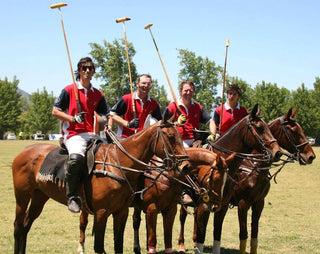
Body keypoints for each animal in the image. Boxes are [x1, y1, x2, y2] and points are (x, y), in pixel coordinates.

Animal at [12, 112, 191, 254]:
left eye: (181, 136)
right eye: (170, 137)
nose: (186, 166)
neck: (119, 163)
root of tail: (23, 151)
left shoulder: (122, 211)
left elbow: (118, 245)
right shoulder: (103, 211)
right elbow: (99, 247)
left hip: (40, 196)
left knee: (26, 226)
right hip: (22, 195)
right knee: (18, 227)